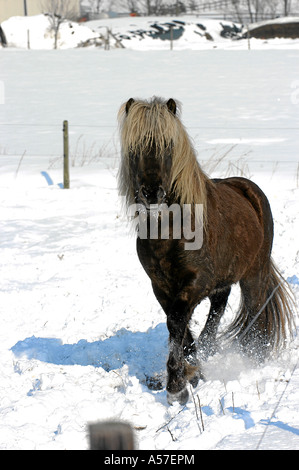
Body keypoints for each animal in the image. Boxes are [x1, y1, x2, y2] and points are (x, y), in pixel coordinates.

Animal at [118, 95, 296, 404]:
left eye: (169, 145)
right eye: (135, 147)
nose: (152, 193)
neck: (169, 230)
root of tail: (248, 189)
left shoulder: (197, 281)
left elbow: (177, 321)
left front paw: (177, 384)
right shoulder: (160, 286)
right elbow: (179, 327)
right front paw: (191, 370)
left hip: (253, 276)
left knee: (253, 315)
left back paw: (250, 359)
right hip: (225, 281)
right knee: (217, 313)